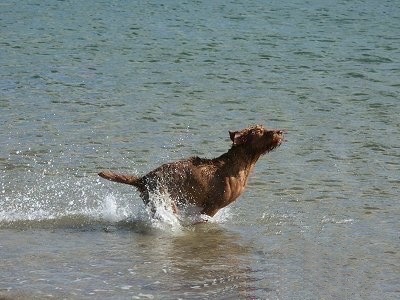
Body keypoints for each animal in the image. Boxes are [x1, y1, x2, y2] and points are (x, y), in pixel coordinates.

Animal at [98, 124, 282, 218]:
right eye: (259, 131)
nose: (280, 131)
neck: (241, 163)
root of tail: (143, 179)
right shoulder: (211, 207)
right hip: (166, 202)